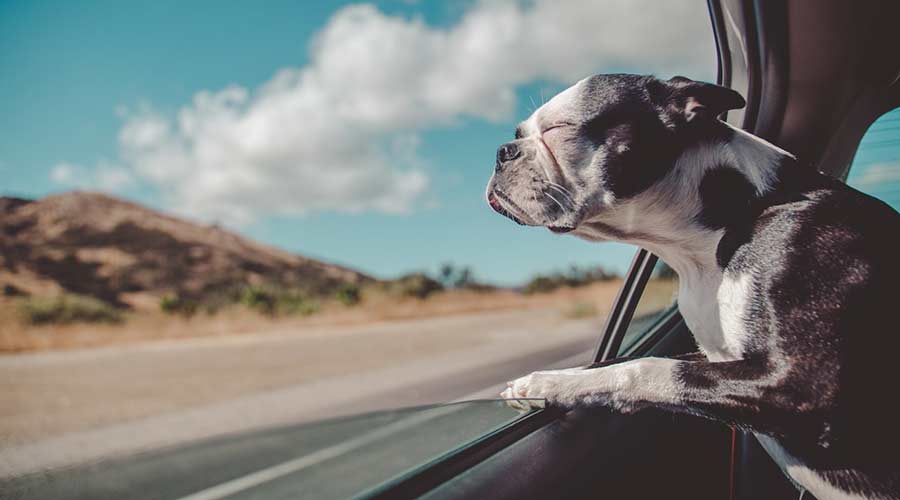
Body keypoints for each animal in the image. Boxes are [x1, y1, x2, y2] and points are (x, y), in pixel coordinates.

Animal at [488, 75, 900, 500]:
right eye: (519, 134)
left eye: (559, 128)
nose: (503, 151)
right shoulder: (713, 357)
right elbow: (616, 361)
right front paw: (547, 382)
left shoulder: (799, 385)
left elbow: (645, 368)